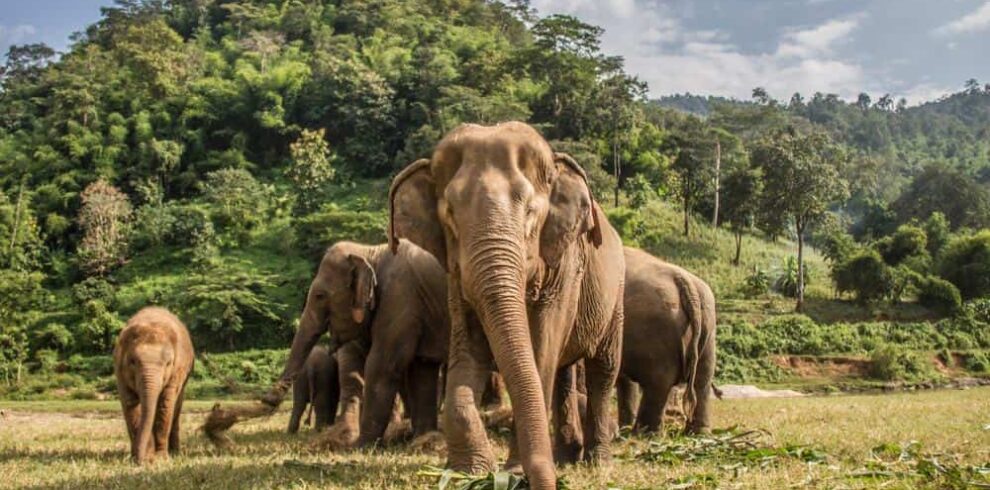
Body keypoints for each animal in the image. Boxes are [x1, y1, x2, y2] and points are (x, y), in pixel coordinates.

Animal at [113, 307, 195, 464]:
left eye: (168, 363)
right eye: (132, 361)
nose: (140, 460)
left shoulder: (177, 370)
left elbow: (165, 404)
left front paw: (161, 458)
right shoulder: (120, 372)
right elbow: (130, 404)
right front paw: (146, 456)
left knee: (176, 406)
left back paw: (175, 453)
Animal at [263, 239, 450, 449]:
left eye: (320, 295)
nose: (268, 400)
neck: (370, 251)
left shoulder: (400, 300)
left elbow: (382, 366)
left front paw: (359, 446)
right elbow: (421, 369)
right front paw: (421, 440)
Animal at [389, 121, 626, 488]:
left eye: (530, 212)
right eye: (450, 215)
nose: (545, 482)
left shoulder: (566, 264)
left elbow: (541, 350)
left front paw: (513, 472)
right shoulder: (456, 276)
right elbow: (469, 347)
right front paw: (468, 471)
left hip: (615, 296)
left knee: (603, 369)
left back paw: (597, 464)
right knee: (564, 372)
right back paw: (566, 456)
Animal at [617, 247, 717, 435]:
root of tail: (684, 281)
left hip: (656, 331)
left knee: (658, 381)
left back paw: (644, 434)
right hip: (708, 325)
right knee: (703, 378)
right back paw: (698, 433)